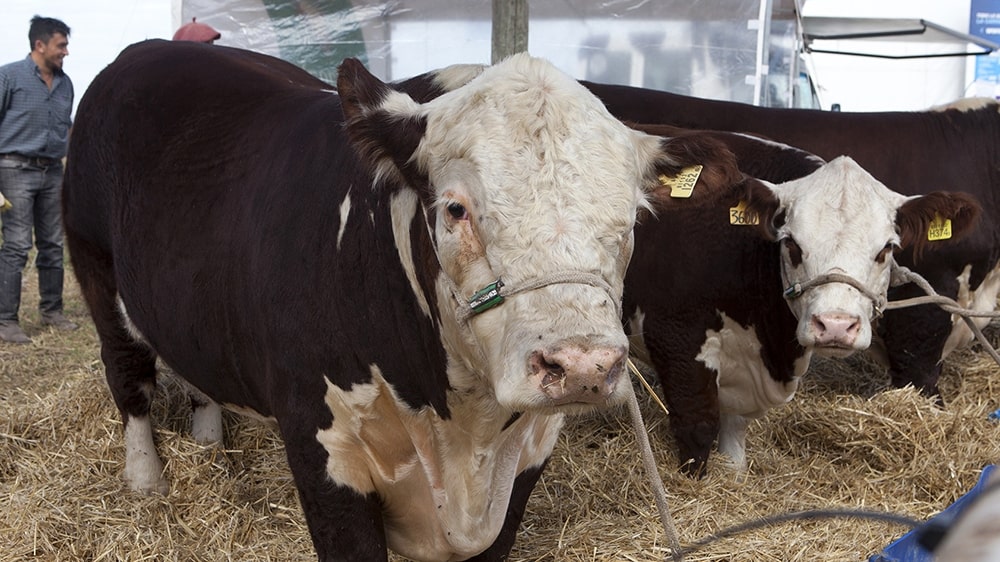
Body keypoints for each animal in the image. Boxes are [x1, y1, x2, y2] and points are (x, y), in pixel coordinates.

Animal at [624, 128, 976, 476]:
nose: (835, 325)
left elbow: (735, 436)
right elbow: (698, 427)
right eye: (791, 244)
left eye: (886, 249)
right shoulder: (675, 338)